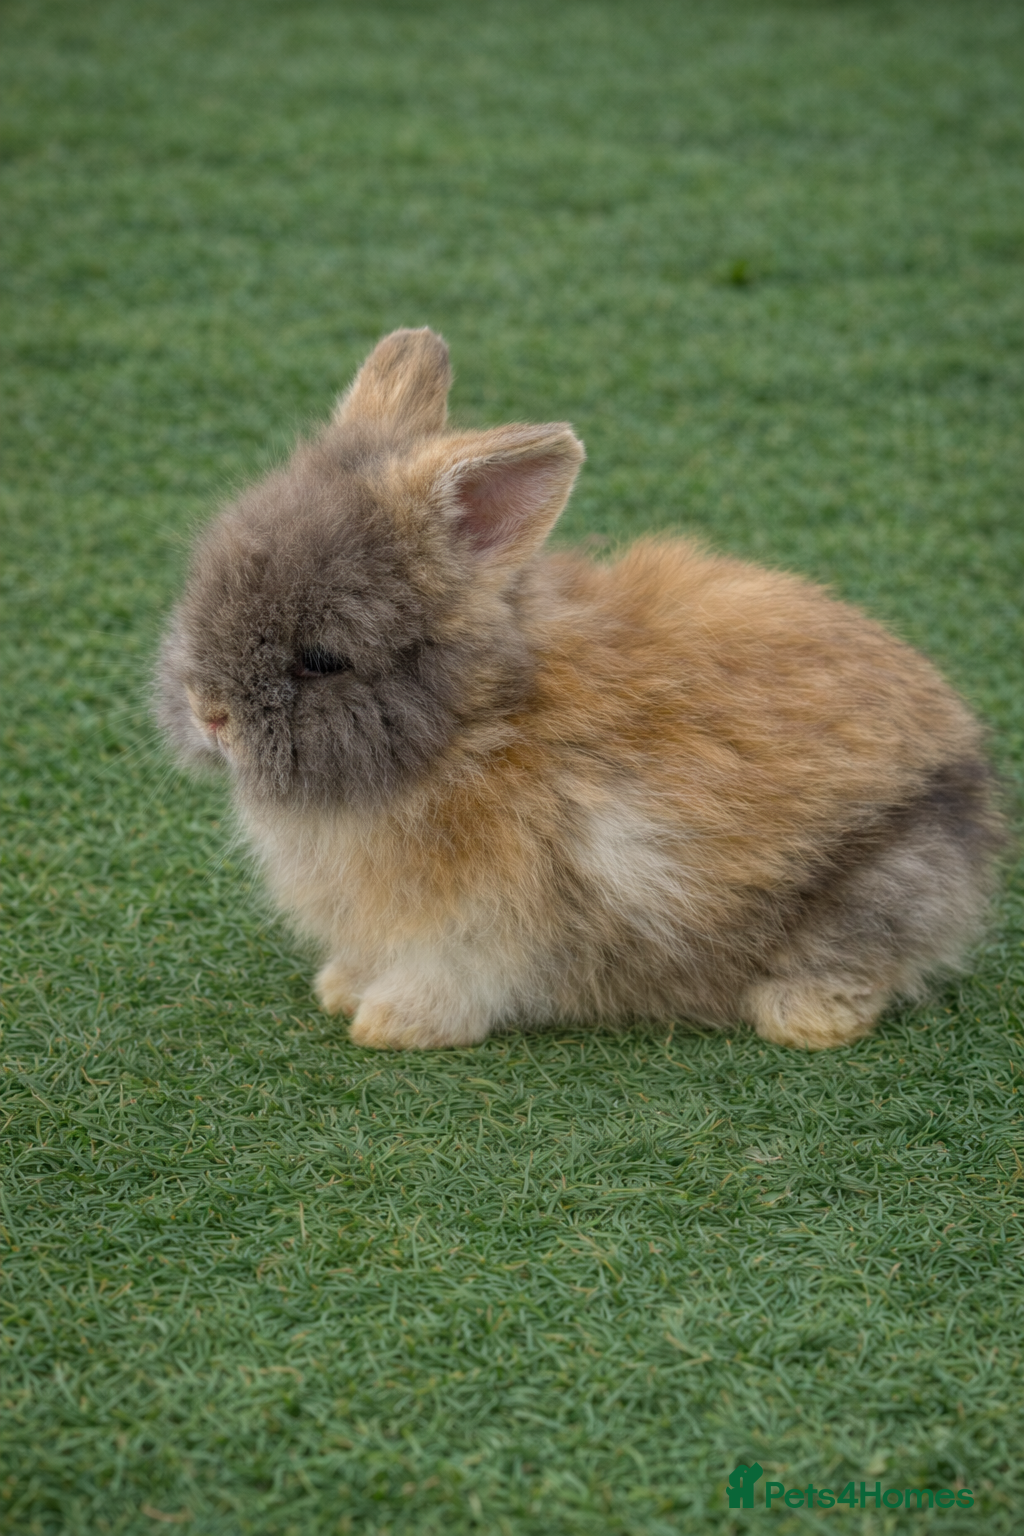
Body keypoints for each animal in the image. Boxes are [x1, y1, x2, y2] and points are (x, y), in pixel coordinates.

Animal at [157, 327, 1003, 1051]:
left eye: (323, 659)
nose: (211, 714)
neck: (476, 723)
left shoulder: (481, 919)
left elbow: (452, 975)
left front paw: (392, 1024)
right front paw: (340, 989)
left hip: (879, 880)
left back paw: (802, 1017)